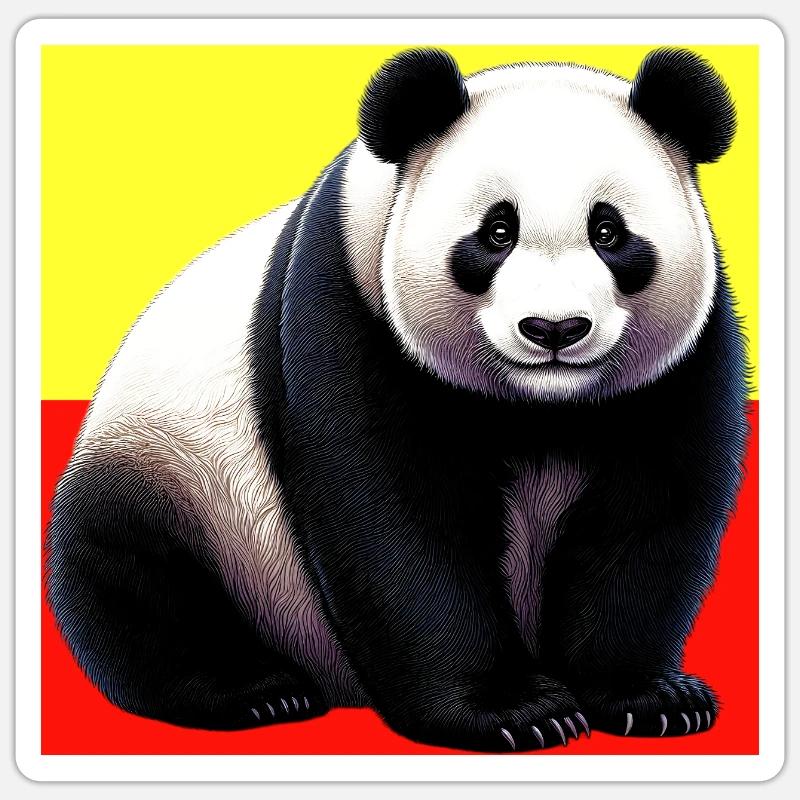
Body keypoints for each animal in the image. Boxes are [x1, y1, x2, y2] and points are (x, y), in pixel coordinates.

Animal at [46, 47, 748, 753]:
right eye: (496, 233)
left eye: (609, 231)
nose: (554, 329)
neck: (538, 406)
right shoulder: (348, 310)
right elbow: (394, 519)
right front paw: (514, 710)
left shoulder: (681, 363)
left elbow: (651, 514)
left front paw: (651, 698)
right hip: (174, 468)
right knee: (135, 579)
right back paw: (256, 691)